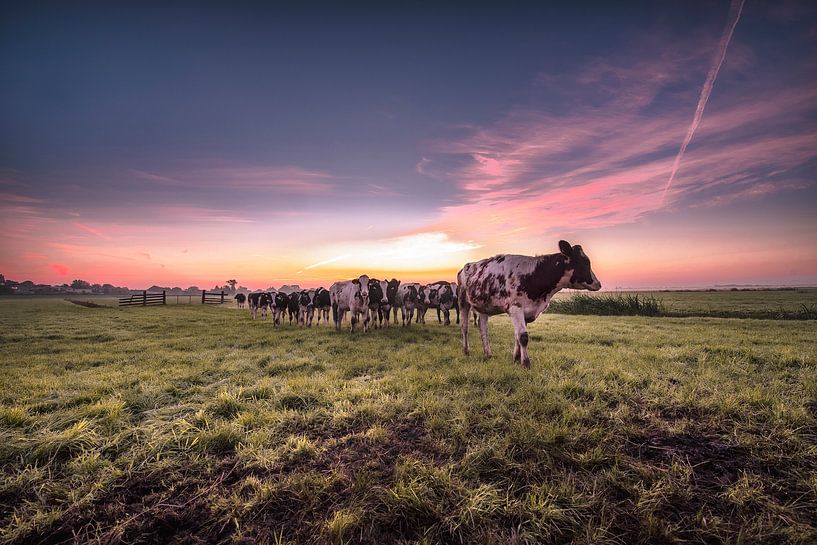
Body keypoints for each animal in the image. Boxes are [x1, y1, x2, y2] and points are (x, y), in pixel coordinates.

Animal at [458, 240, 601, 368]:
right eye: (585, 262)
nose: (598, 284)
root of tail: (467, 266)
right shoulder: (515, 308)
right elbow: (523, 337)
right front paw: (526, 363)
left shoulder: (528, 311)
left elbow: (517, 336)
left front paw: (516, 359)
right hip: (463, 301)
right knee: (465, 327)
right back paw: (466, 351)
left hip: (484, 307)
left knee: (483, 328)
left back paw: (488, 354)